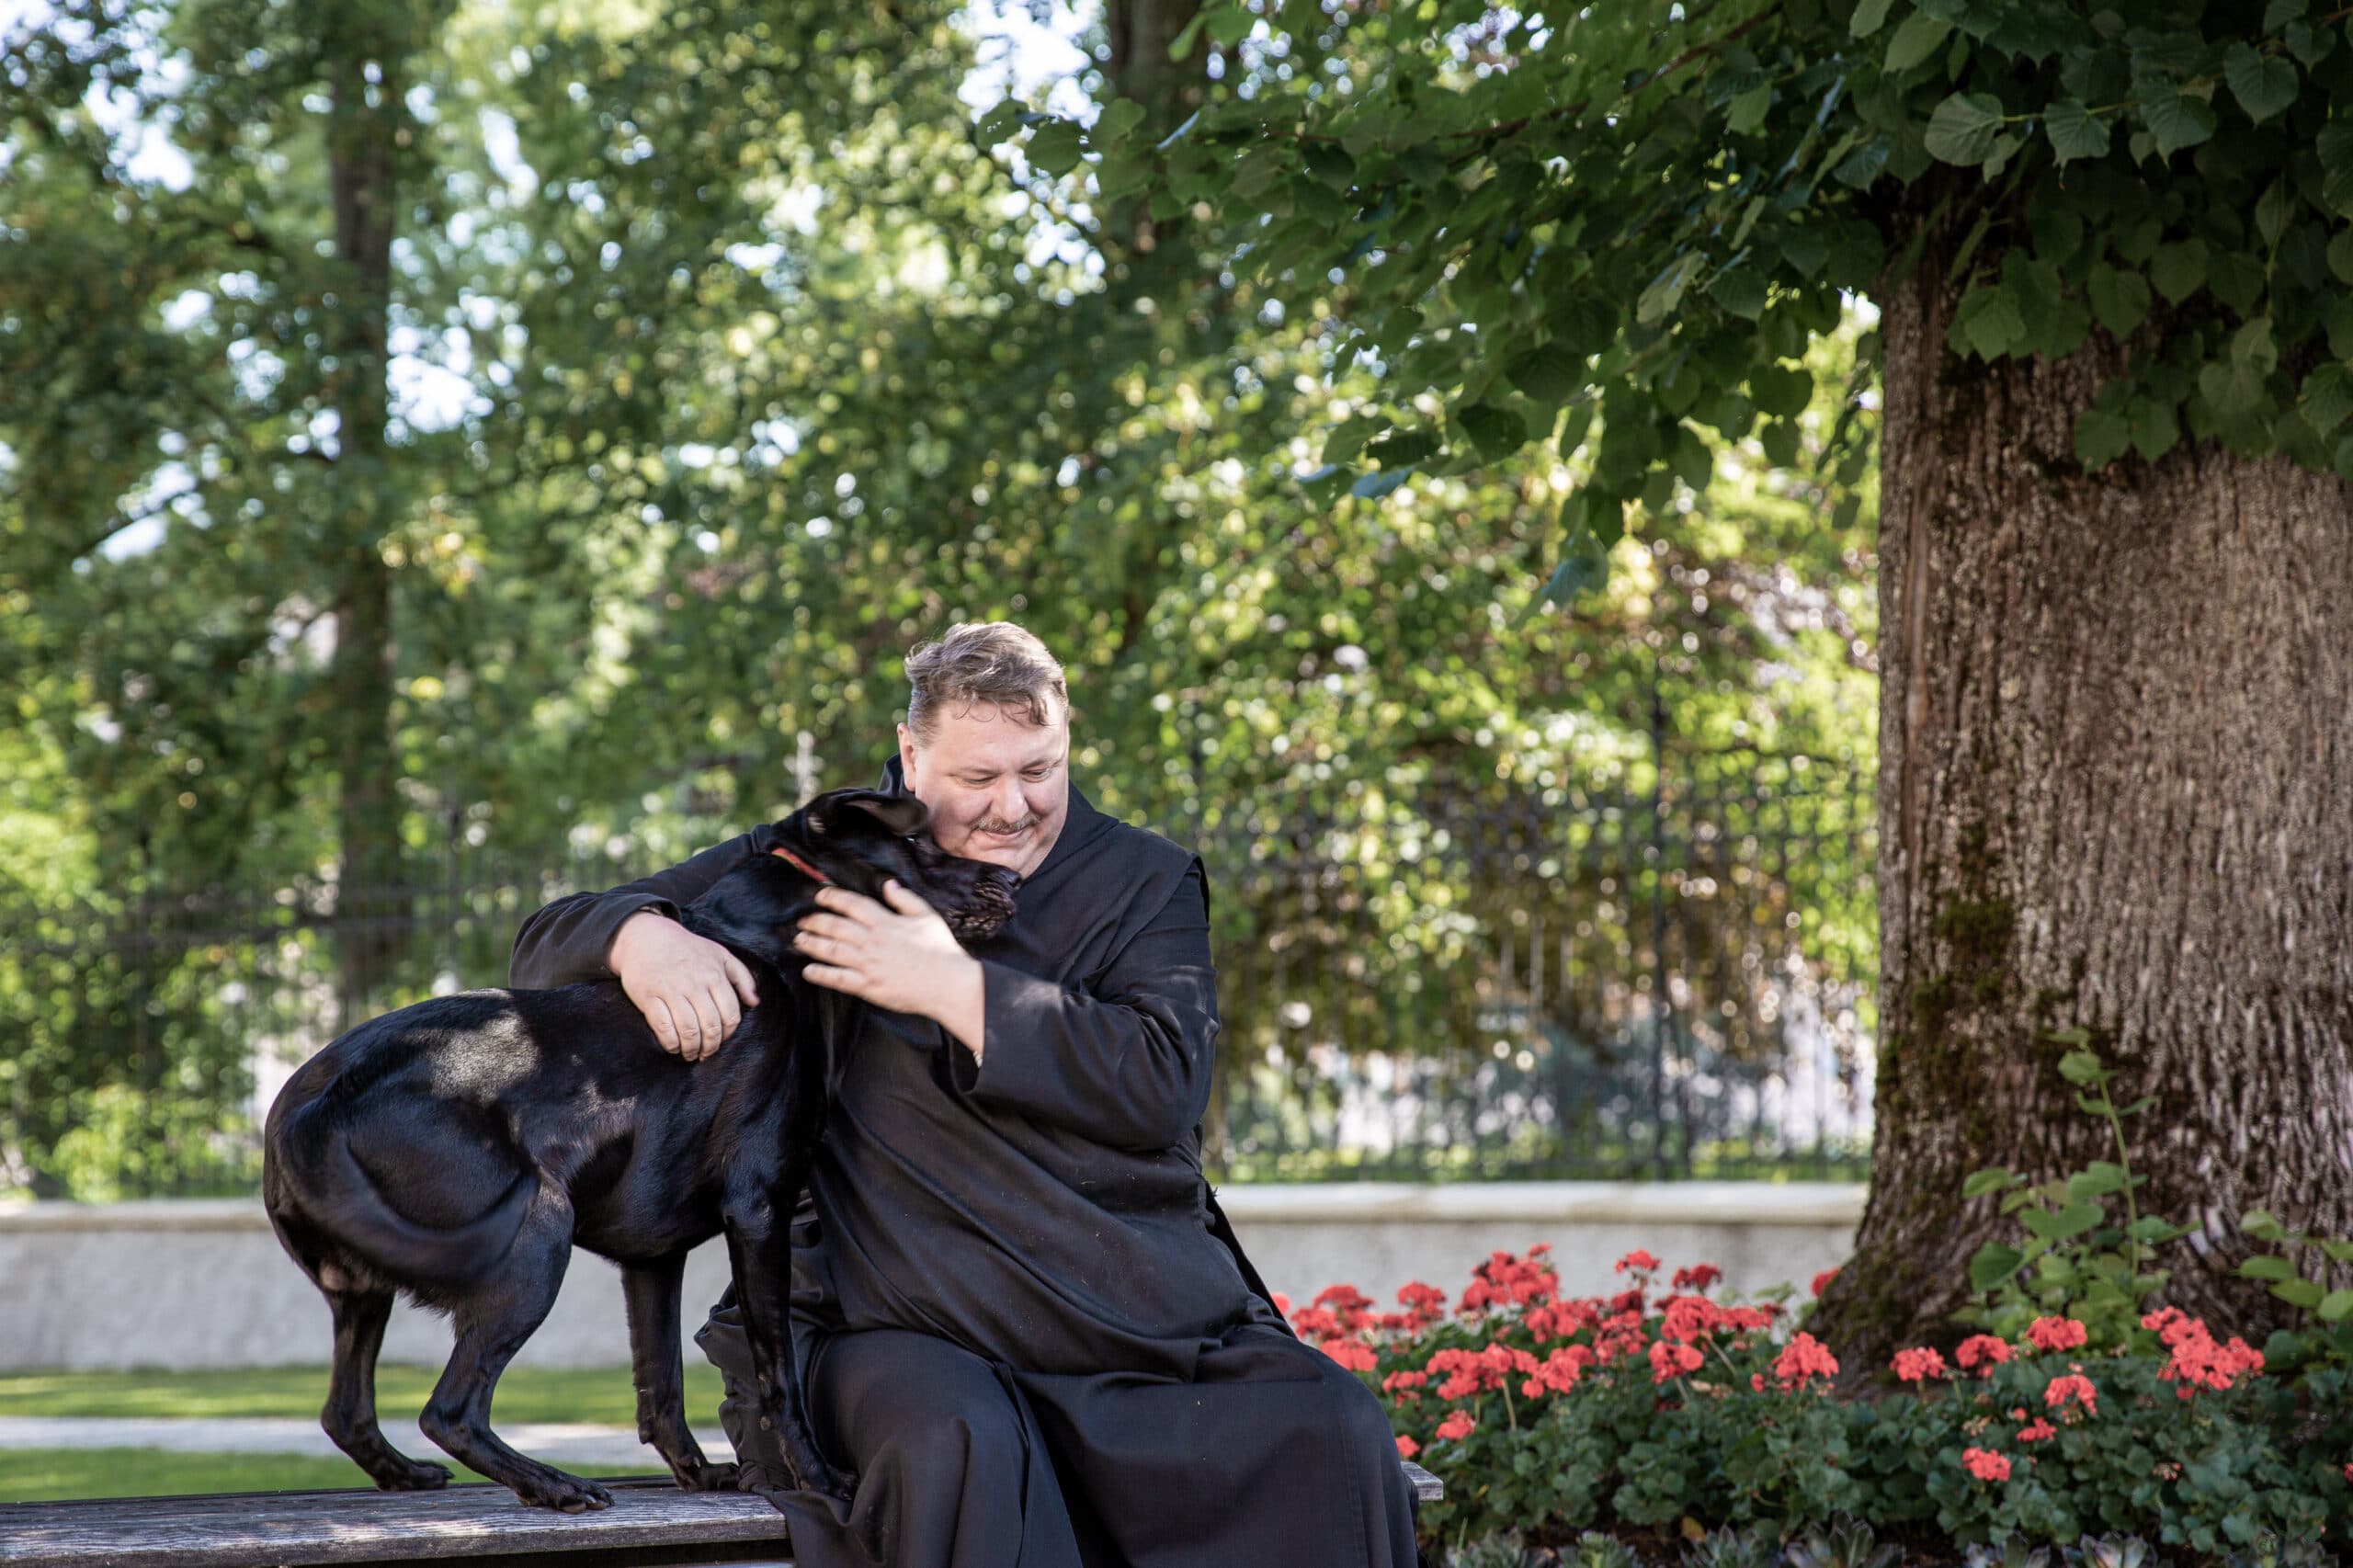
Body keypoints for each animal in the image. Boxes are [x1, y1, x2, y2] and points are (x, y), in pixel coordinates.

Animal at [262, 786, 1016, 1506]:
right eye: (917, 841)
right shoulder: (758, 1209)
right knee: (449, 1411)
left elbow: (662, 1386)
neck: (772, 942)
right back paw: (553, 1485)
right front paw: (818, 1479)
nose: (1009, 876)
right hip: (535, 1234)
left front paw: (698, 1474)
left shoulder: (653, 1259)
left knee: (346, 1413)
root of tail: (310, 1111)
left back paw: (410, 1475)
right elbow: (780, 1371)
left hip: (364, 1295)